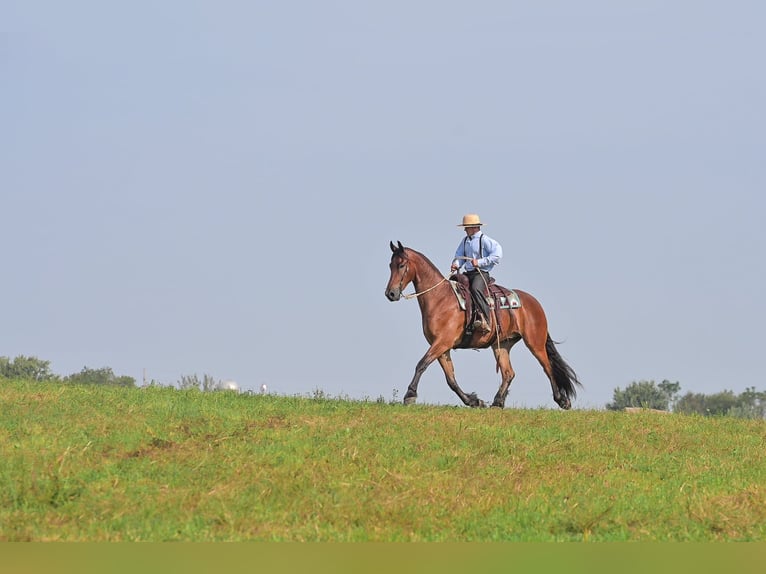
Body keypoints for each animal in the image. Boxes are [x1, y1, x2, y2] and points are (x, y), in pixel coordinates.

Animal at [384, 241, 582, 409]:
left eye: (401, 265)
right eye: (390, 265)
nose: (390, 294)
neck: (440, 298)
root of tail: (534, 303)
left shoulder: (442, 342)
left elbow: (421, 364)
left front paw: (410, 395)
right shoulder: (442, 347)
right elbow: (450, 378)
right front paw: (473, 401)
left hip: (535, 343)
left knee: (547, 367)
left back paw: (562, 400)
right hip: (502, 345)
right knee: (508, 373)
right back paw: (497, 402)